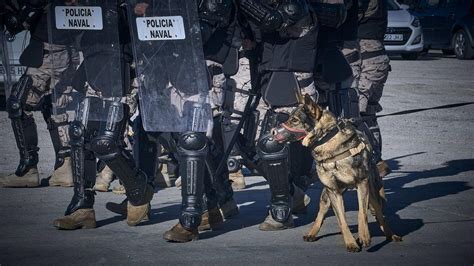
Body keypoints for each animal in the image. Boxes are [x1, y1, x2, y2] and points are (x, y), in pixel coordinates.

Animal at [272, 94, 402, 252]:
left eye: (295, 120)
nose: (273, 132)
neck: (327, 139)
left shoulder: (362, 184)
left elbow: (362, 213)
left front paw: (364, 236)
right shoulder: (333, 191)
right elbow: (342, 220)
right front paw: (351, 242)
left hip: (373, 193)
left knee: (380, 215)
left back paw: (392, 235)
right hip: (326, 196)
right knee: (321, 213)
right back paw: (312, 233)